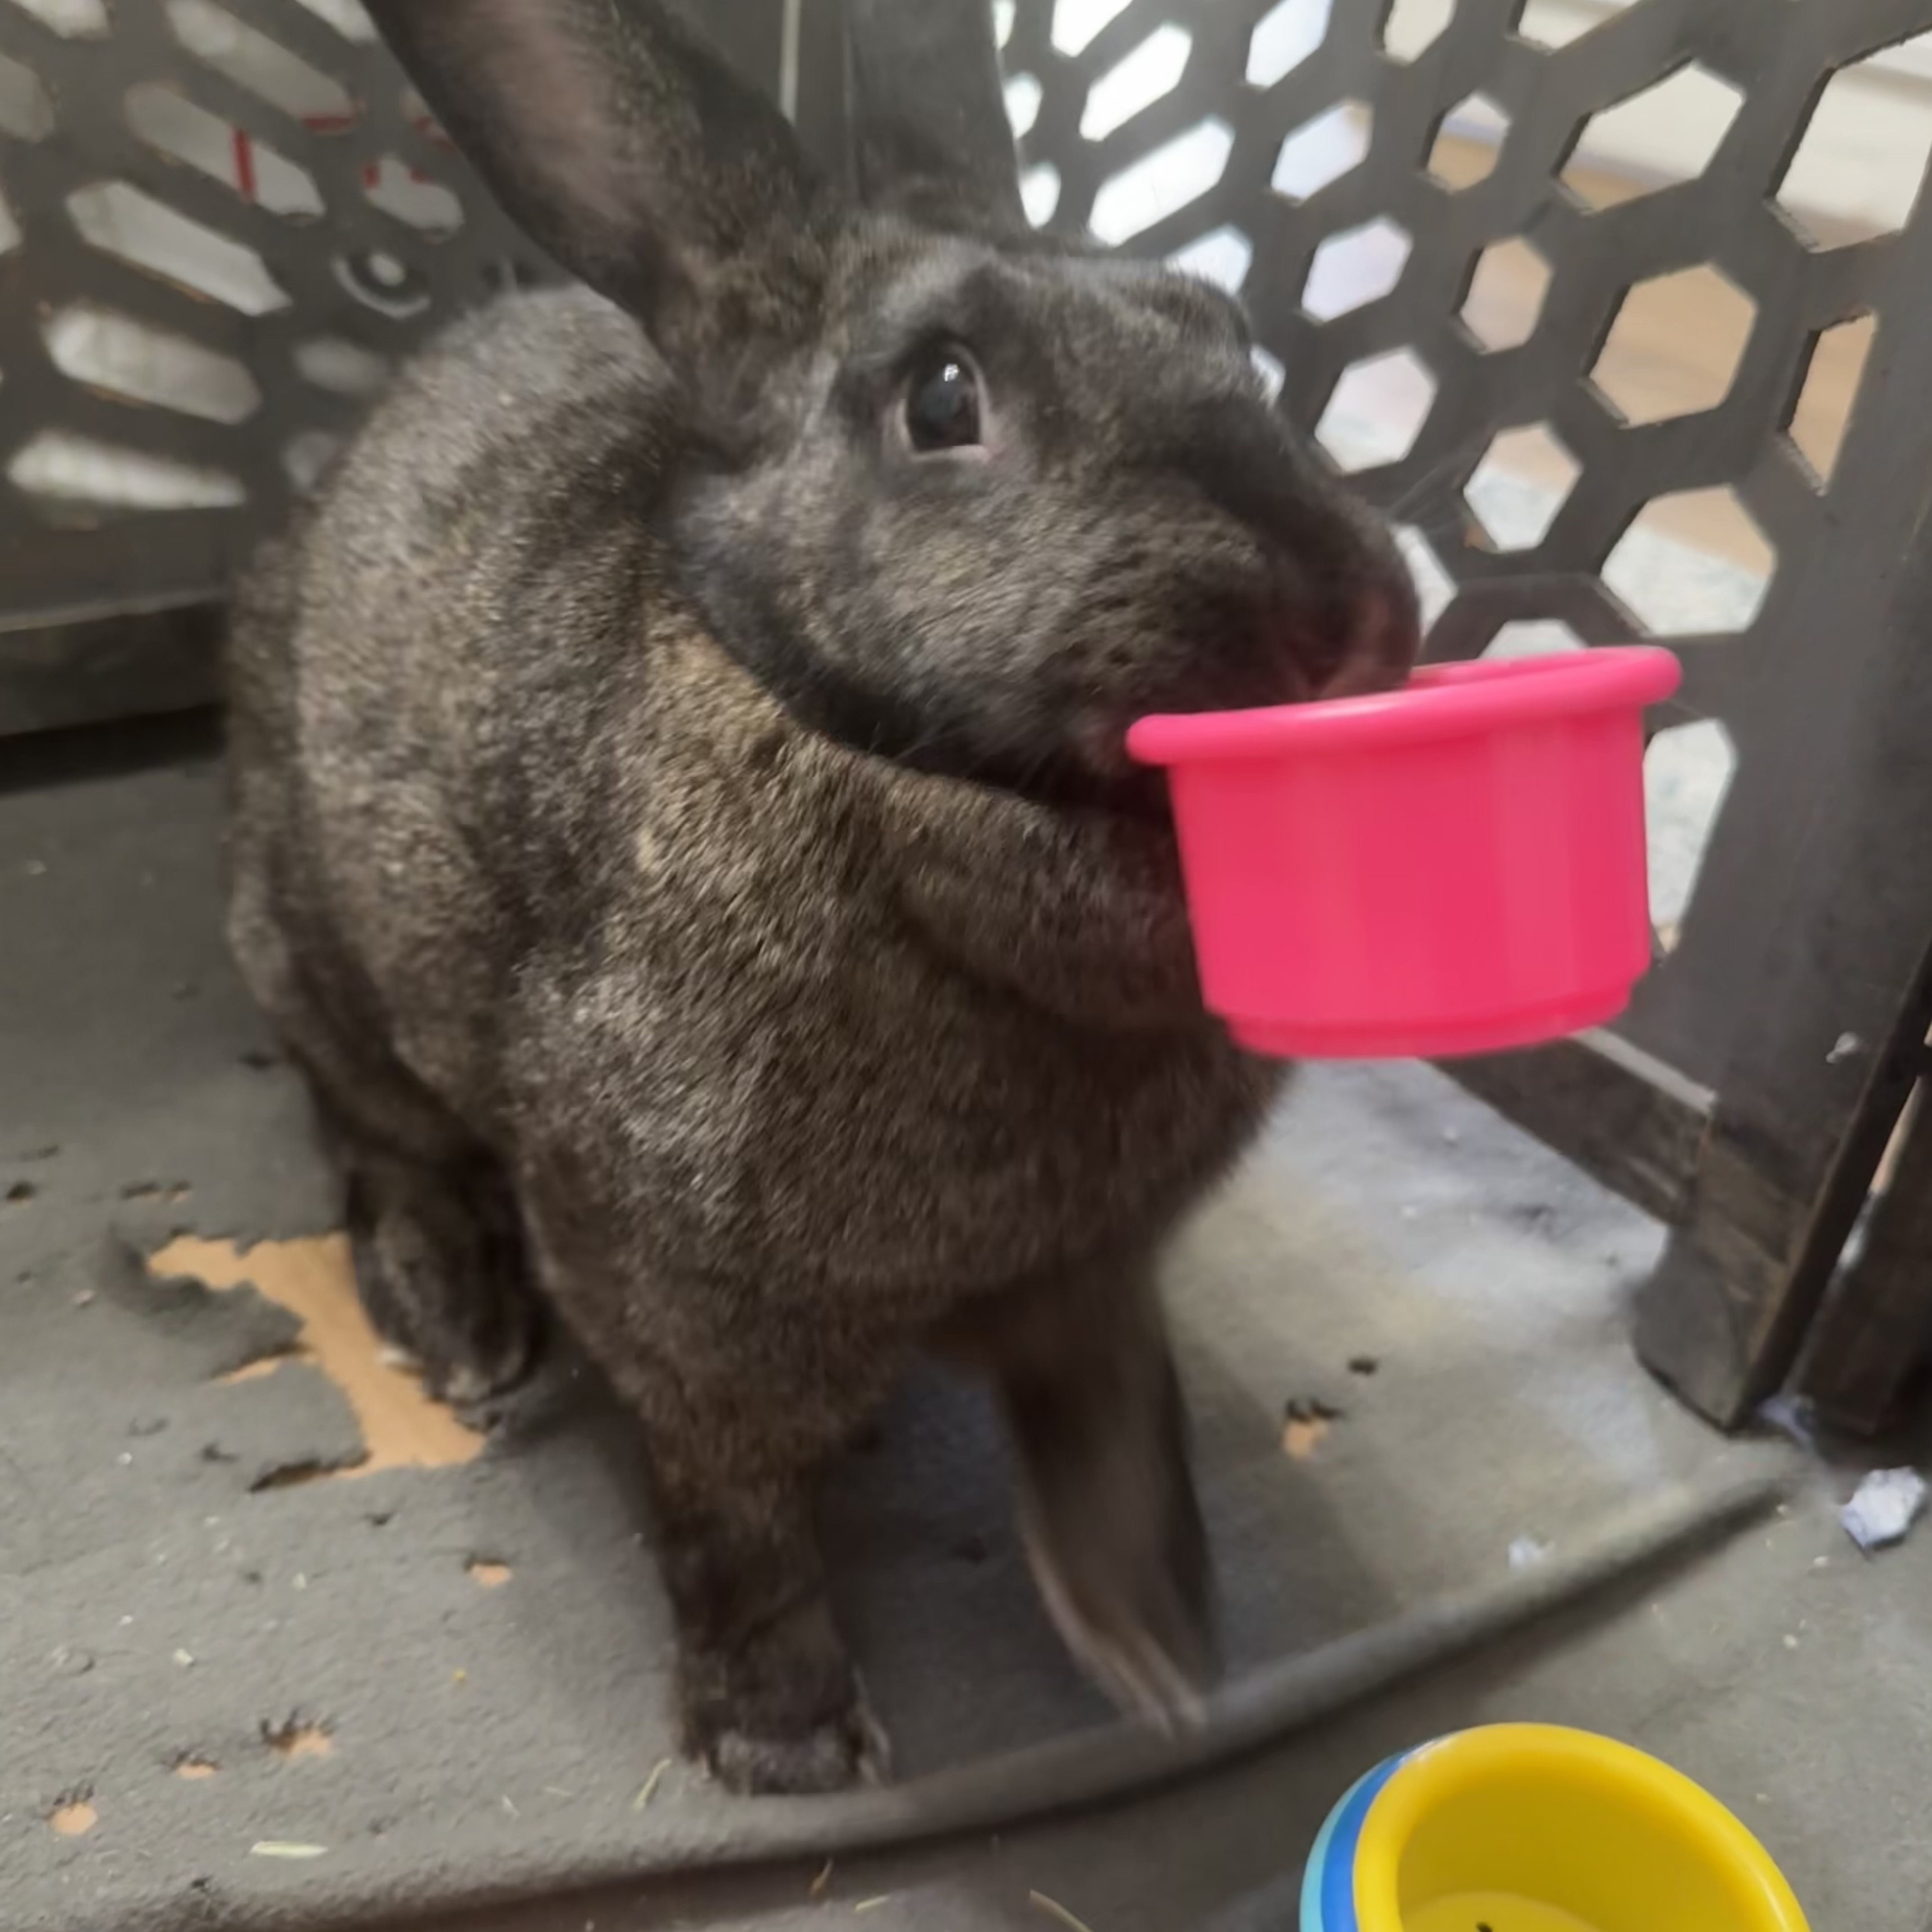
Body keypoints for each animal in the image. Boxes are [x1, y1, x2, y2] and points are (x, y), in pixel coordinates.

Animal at [223, 0, 1421, 1796]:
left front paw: (1161, 1649)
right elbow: (736, 1511)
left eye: (1233, 338)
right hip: (325, 958)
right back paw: (457, 1317)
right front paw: (783, 1740)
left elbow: (1111, 1423)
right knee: (376, 1134)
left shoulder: (1097, 1278)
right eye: (942, 398)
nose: (1342, 611)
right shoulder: (687, 1308)